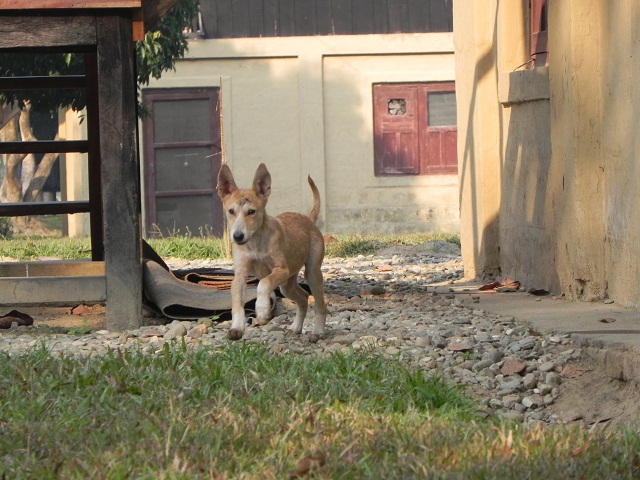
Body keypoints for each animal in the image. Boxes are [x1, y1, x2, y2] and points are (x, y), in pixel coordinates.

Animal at [218, 164, 328, 342]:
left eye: (251, 212)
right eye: (231, 211)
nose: (237, 236)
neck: (255, 243)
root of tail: (308, 219)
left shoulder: (281, 270)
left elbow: (263, 284)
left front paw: (262, 311)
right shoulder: (240, 275)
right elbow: (237, 303)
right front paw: (237, 327)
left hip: (312, 272)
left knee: (320, 305)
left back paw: (317, 332)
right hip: (287, 285)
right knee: (304, 297)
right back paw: (296, 327)